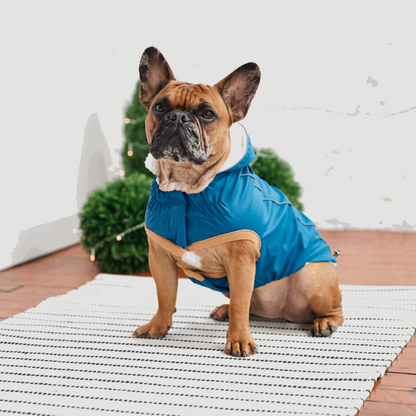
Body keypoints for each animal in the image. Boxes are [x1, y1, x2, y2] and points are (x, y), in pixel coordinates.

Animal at [132, 47, 342, 356]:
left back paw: (325, 323)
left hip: (312, 277)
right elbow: (165, 295)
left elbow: (240, 307)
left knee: (332, 309)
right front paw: (158, 326)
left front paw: (239, 340)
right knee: (245, 306)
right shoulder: (159, 257)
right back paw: (223, 308)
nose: (178, 117)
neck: (187, 189)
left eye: (207, 114)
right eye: (159, 108)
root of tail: (284, 315)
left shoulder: (241, 261)